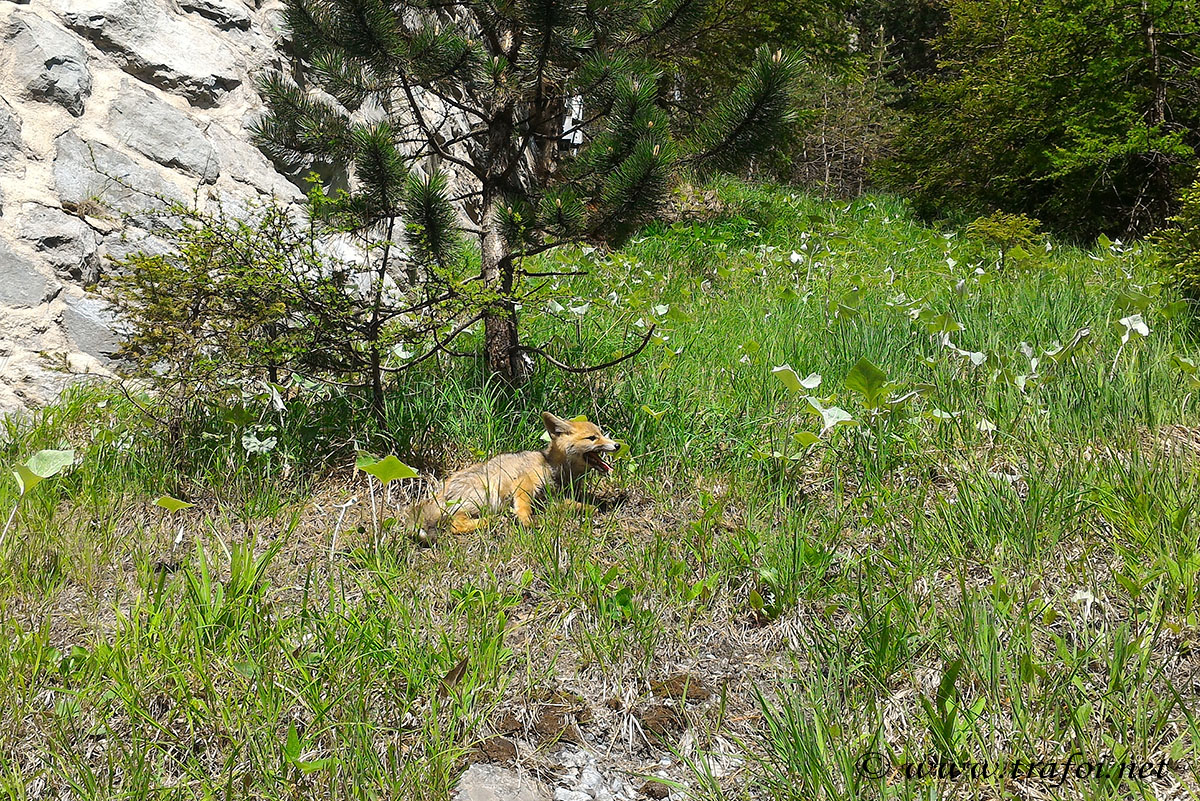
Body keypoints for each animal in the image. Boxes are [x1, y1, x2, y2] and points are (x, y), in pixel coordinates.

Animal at [404, 412, 620, 543]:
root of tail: (438, 493)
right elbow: (524, 507)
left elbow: (580, 506)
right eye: (592, 438)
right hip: (485, 497)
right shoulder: (525, 482)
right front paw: (526, 521)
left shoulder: (552, 498)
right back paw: (491, 521)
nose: (617, 445)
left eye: (601, 434)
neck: (554, 467)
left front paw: (593, 508)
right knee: (456, 525)